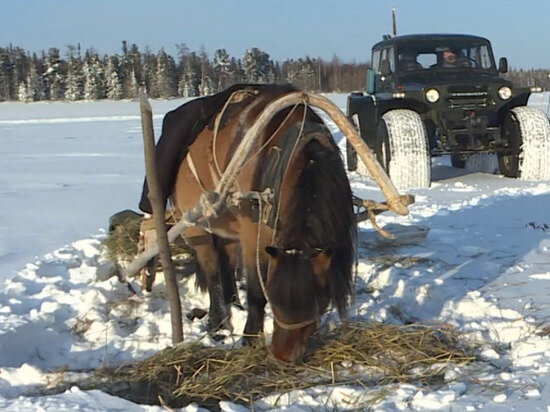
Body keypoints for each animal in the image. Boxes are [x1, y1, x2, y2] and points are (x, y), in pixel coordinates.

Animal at [160, 83, 358, 360]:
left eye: (318, 299)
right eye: (275, 298)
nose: (282, 355)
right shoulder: (254, 232)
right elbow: (256, 289)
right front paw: (251, 337)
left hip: (228, 224)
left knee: (226, 261)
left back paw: (234, 305)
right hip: (194, 223)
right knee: (211, 270)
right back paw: (219, 325)